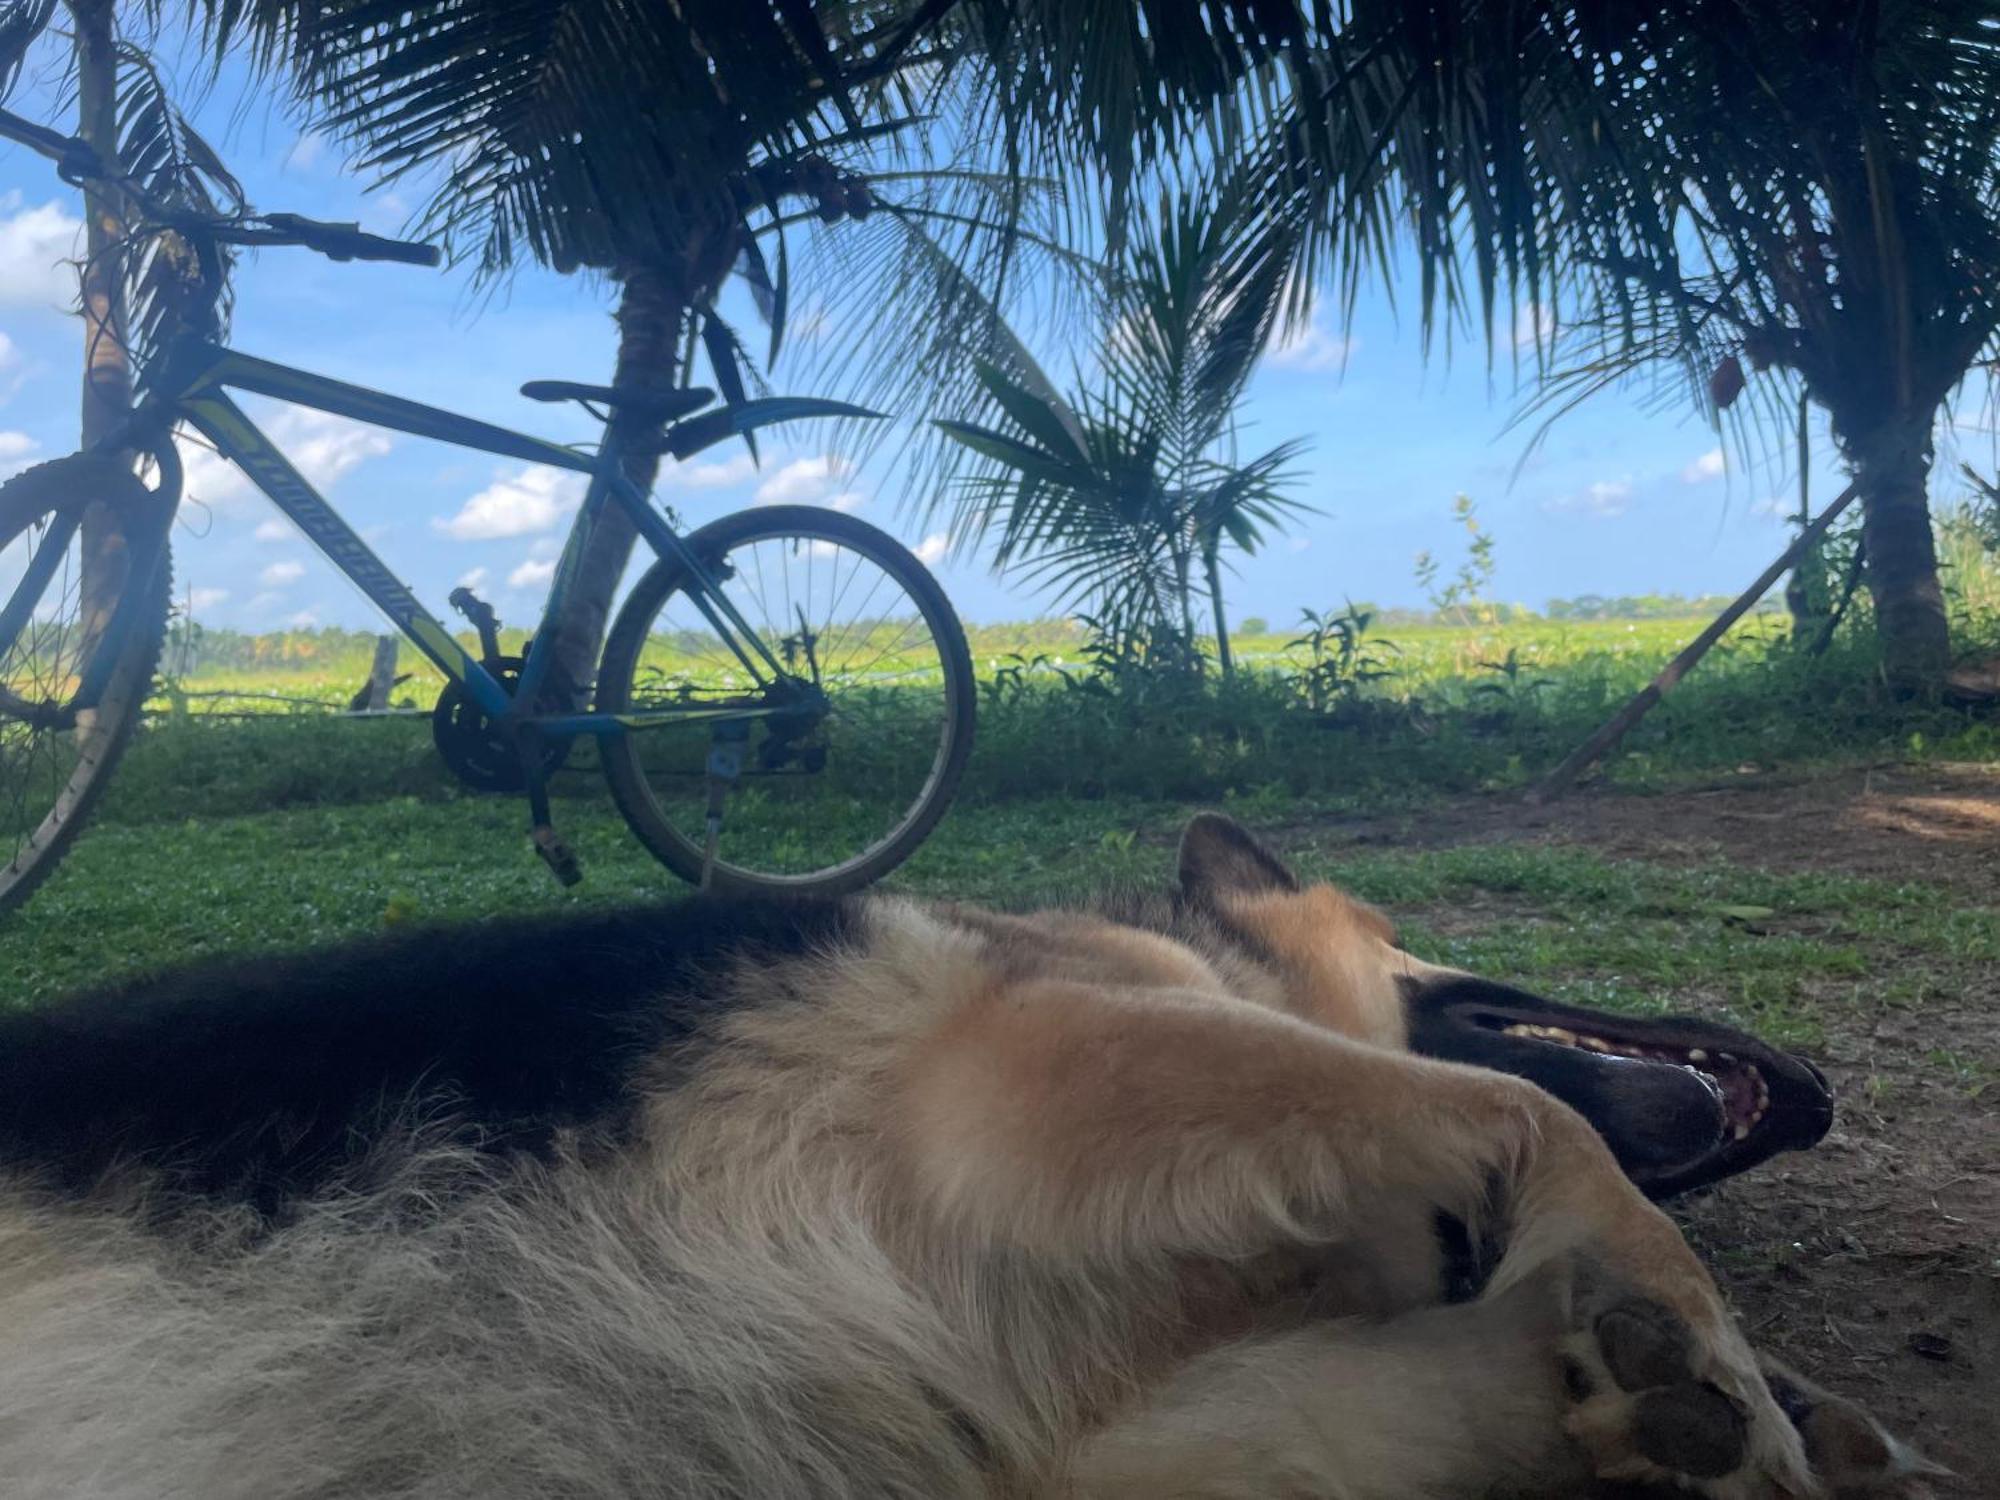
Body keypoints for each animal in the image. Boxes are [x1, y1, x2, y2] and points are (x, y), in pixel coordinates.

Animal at [0, 816, 1936, 1496]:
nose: (1815, 1080)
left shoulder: (1097, 1450)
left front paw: (1670, 1406)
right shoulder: (1028, 1071)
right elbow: (1554, 1125)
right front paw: (1721, 1372)